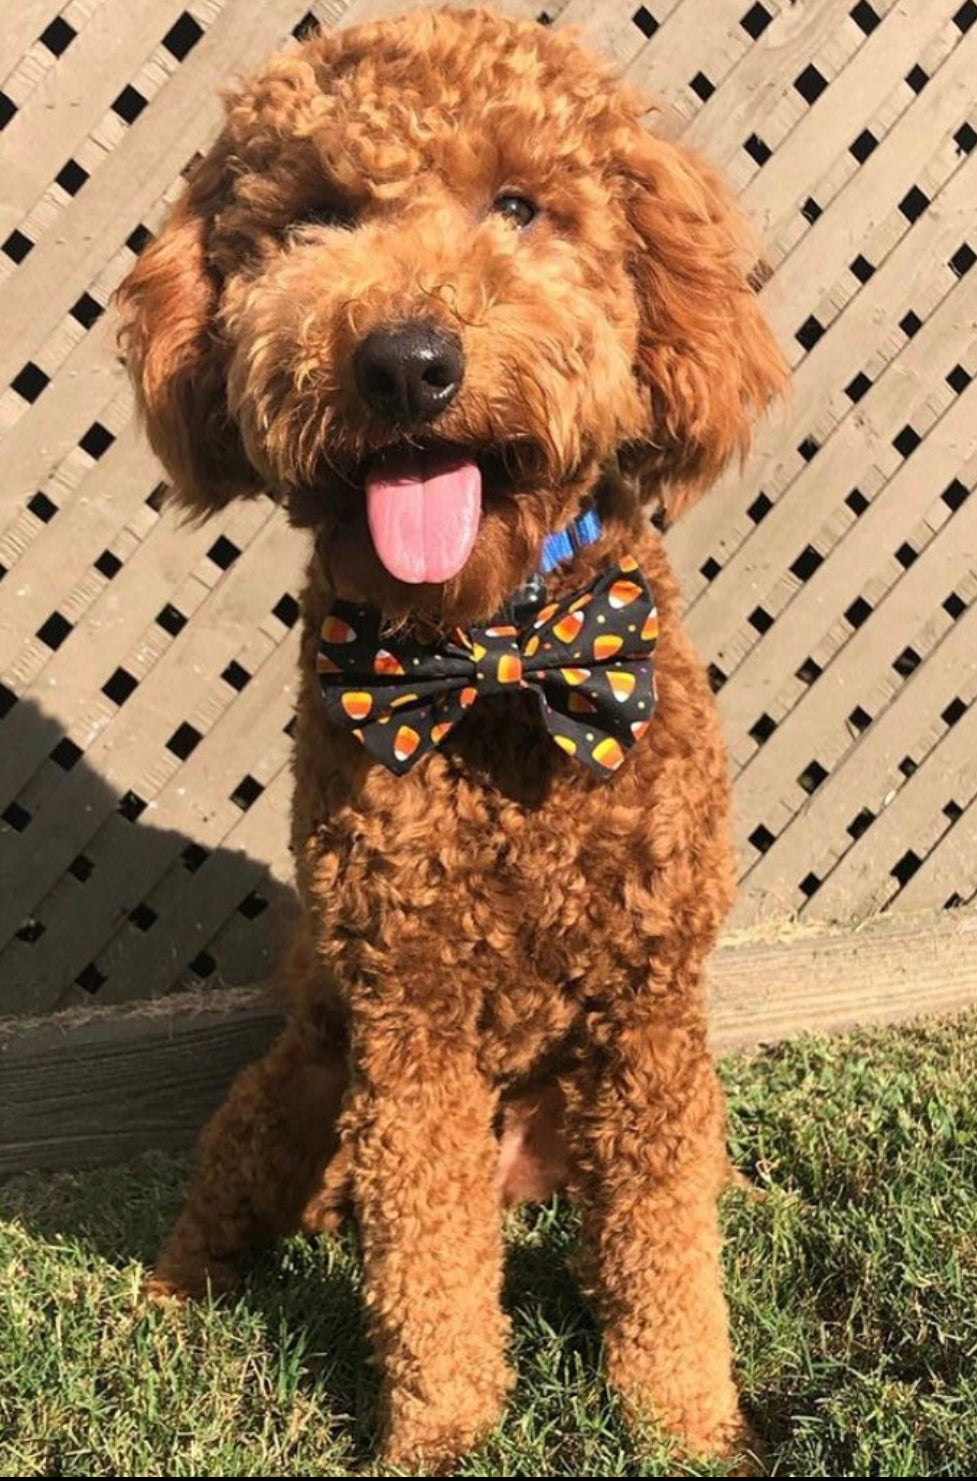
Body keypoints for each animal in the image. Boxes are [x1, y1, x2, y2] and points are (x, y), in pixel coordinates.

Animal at [116, 8, 787, 1469]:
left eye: (521, 205)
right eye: (314, 215)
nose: (407, 363)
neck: (493, 662)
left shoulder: (651, 1018)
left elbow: (667, 1263)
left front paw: (688, 1427)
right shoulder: (406, 1021)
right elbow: (426, 1274)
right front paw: (439, 1437)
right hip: (302, 1090)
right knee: (222, 1206)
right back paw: (158, 1306)